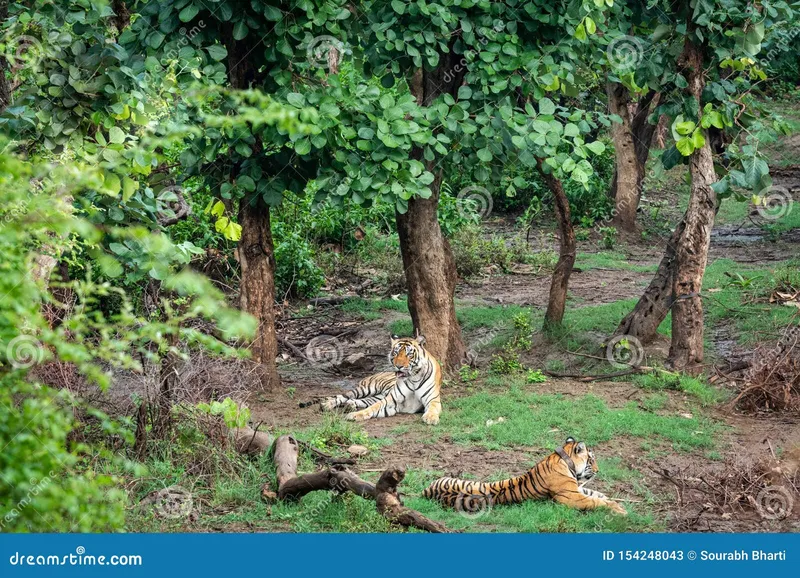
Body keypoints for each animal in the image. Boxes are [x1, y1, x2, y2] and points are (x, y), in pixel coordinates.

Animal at [422, 436, 628, 512]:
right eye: (591, 460)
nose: (598, 470)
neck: (563, 460)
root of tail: (426, 491)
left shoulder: (577, 489)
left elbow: (598, 494)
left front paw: (617, 503)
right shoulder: (572, 497)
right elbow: (596, 501)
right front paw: (620, 510)